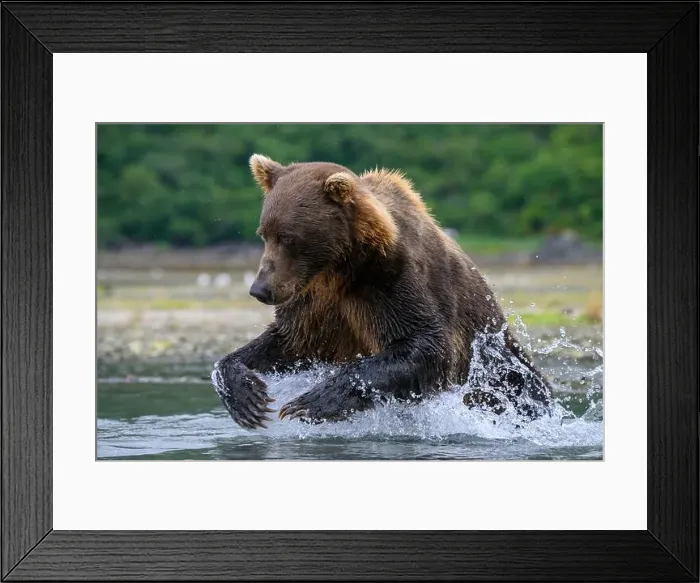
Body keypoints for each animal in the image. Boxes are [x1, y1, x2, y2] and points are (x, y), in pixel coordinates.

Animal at [211, 154, 553, 429]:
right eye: (264, 233)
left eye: (289, 237)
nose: (260, 289)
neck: (339, 268)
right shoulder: (315, 302)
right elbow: (289, 341)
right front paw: (247, 398)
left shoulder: (389, 281)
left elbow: (427, 344)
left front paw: (307, 403)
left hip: (501, 366)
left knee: (522, 389)